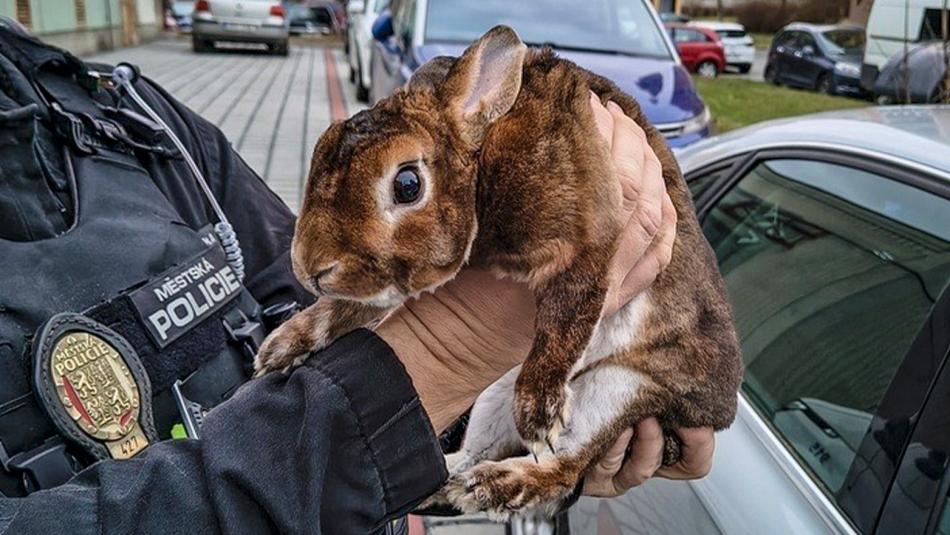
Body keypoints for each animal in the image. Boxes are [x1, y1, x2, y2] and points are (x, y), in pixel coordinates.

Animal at [256, 24, 748, 520]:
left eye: (407, 184)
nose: (309, 267)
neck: (480, 162)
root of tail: (719, 412)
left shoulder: (588, 239)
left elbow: (565, 318)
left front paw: (539, 414)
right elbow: (346, 308)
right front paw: (281, 349)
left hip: (623, 389)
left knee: (562, 466)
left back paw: (497, 483)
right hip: (495, 389)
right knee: (476, 449)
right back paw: (454, 486)